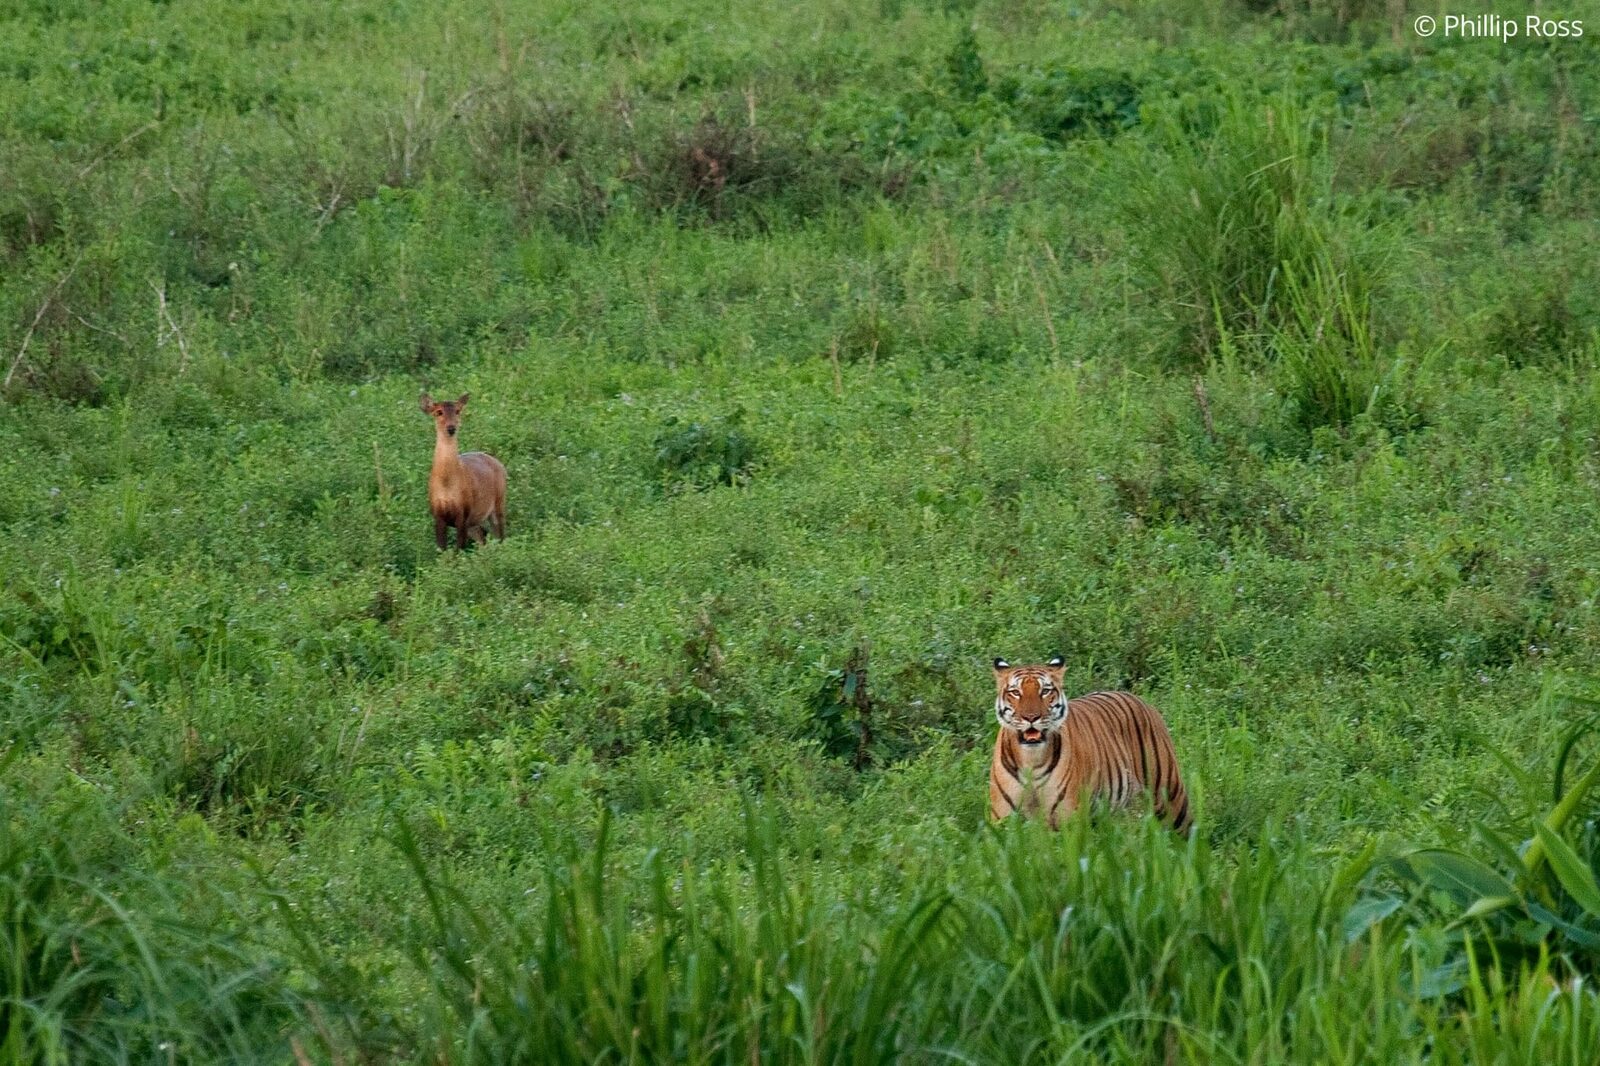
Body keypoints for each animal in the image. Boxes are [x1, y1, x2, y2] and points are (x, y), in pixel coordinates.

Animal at [419, 392, 506, 550]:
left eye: (457, 411)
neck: (446, 484)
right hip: (475, 520)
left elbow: (458, 549)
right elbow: (442, 548)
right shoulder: (437, 513)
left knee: (500, 535)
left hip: (499, 502)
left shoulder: (464, 512)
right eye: (438, 412)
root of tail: (498, 463)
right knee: (482, 537)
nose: (451, 428)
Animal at [988, 656, 1191, 833]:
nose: (1031, 717)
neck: (1031, 759)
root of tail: (1139, 699)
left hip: (1170, 799)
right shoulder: (1003, 822)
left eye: (1045, 691)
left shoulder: (1069, 821)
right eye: (1015, 692)